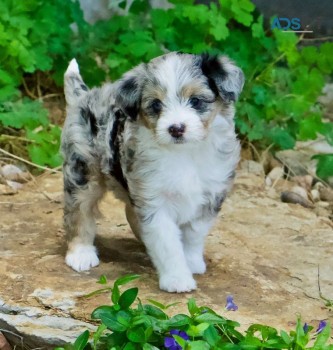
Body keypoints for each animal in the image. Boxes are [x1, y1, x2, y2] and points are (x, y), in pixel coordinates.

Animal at [62, 52, 243, 292]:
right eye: (156, 104)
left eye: (196, 101)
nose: (176, 128)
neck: (185, 153)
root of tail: (84, 96)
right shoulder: (155, 201)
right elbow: (167, 242)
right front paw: (177, 278)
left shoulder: (210, 196)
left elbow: (194, 235)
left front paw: (192, 262)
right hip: (83, 171)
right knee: (79, 211)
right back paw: (80, 253)